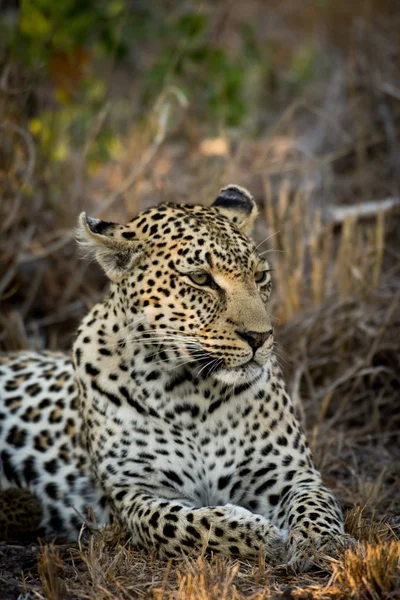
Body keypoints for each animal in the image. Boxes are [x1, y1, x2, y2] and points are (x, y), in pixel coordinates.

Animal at [0, 185, 356, 568]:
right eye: (201, 279)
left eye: (260, 276)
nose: (260, 337)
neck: (191, 391)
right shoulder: (136, 493)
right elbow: (186, 524)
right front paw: (261, 535)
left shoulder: (289, 472)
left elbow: (315, 503)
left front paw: (323, 543)